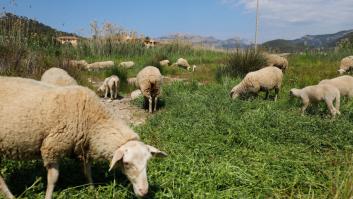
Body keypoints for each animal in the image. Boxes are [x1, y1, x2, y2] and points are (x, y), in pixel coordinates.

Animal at [0, 75, 167, 198]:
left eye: (148, 162)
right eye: (126, 164)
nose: (144, 192)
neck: (91, 119)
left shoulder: (83, 147)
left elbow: (87, 171)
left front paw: (92, 189)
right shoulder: (52, 147)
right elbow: (53, 179)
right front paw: (48, 196)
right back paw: (10, 196)